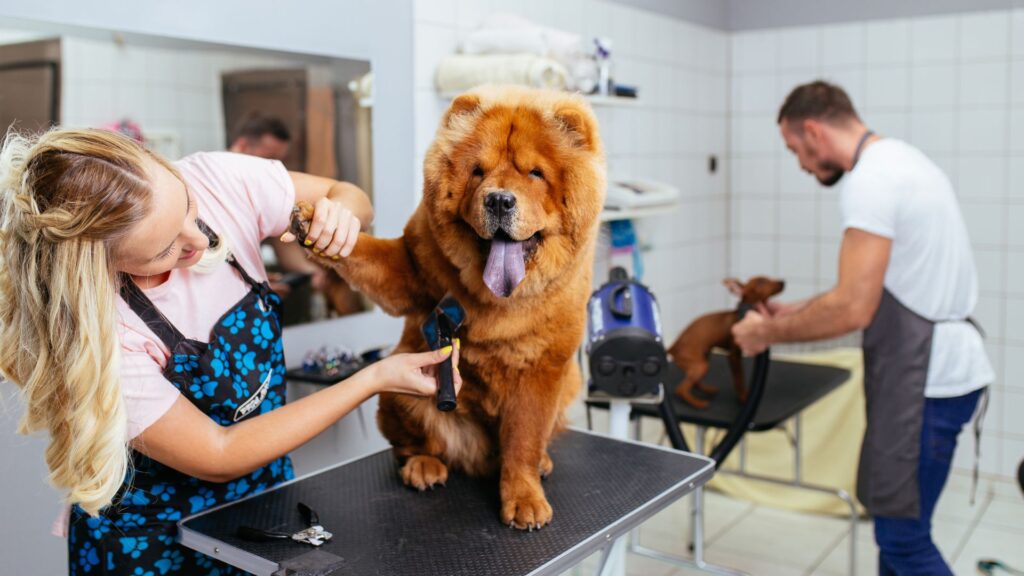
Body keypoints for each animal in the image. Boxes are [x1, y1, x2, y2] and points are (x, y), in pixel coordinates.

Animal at [292, 83, 602, 528]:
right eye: (478, 171)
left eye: (535, 173)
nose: (499, 200)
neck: (498, 298)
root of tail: (480, 457)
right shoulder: (409, 266)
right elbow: (366, 253)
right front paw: (319, 224)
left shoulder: (541, 369)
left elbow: (524, 439)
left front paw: (524, 498)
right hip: (398, 394)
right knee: (413, 444)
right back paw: (423, 467)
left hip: (569, 384)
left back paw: (540, 462)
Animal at [667, 274, 786, 405]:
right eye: (761, 282)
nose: (783, 282)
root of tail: (673, 347)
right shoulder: (733, 356)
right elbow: (739, 378)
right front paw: (743, 397)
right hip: (700, 364)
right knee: (681, 389)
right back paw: (698, 403)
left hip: (703, 358)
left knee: (694, 382)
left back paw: (707, 389)